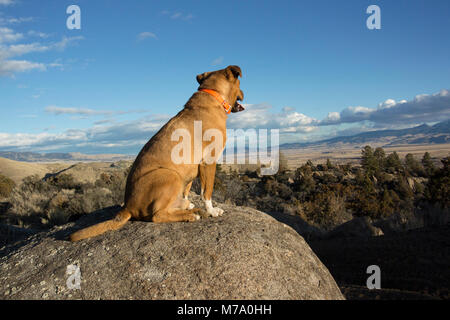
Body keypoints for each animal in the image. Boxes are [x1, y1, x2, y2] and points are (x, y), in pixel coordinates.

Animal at [70, 64, 244, 240]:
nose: (244, 93)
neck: (213, 95)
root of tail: (127, 207)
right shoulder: (209, 161)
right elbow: (206, 192)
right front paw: (212, 211)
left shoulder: (190, 172)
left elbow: (187, 192)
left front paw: (186, 204)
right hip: (170, 175)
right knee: (157, 215)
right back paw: (190, 215)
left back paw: (188, 209)